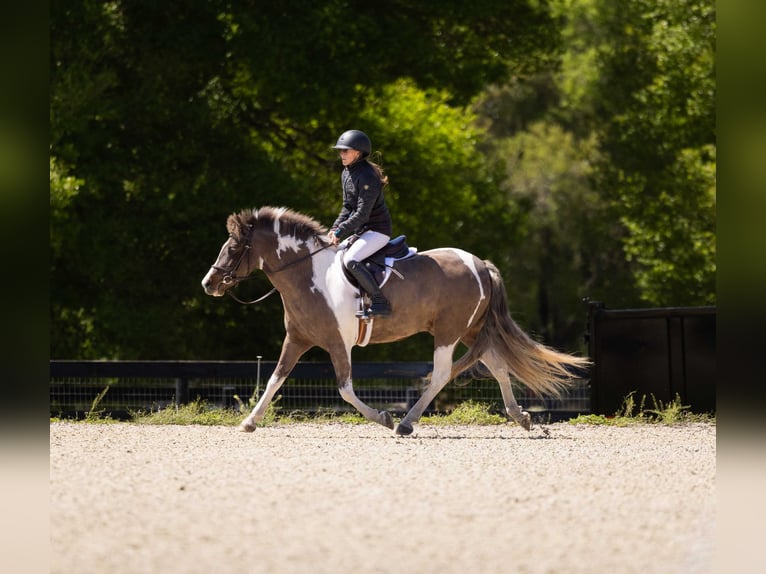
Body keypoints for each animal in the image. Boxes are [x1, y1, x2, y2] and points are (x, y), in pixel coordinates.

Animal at [201, 206, 589, 435]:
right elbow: (274, 379)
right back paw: (520, 417)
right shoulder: (296, 340)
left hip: (448, 332)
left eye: (233, 248)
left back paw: (404, 422)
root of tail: (480, 263)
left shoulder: (338, 343)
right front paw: (249, 421)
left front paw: (383, 418)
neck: (309, 274)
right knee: (497, 365)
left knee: (443, 374)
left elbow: (344, 389)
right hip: (471, 330)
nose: (209, 284)